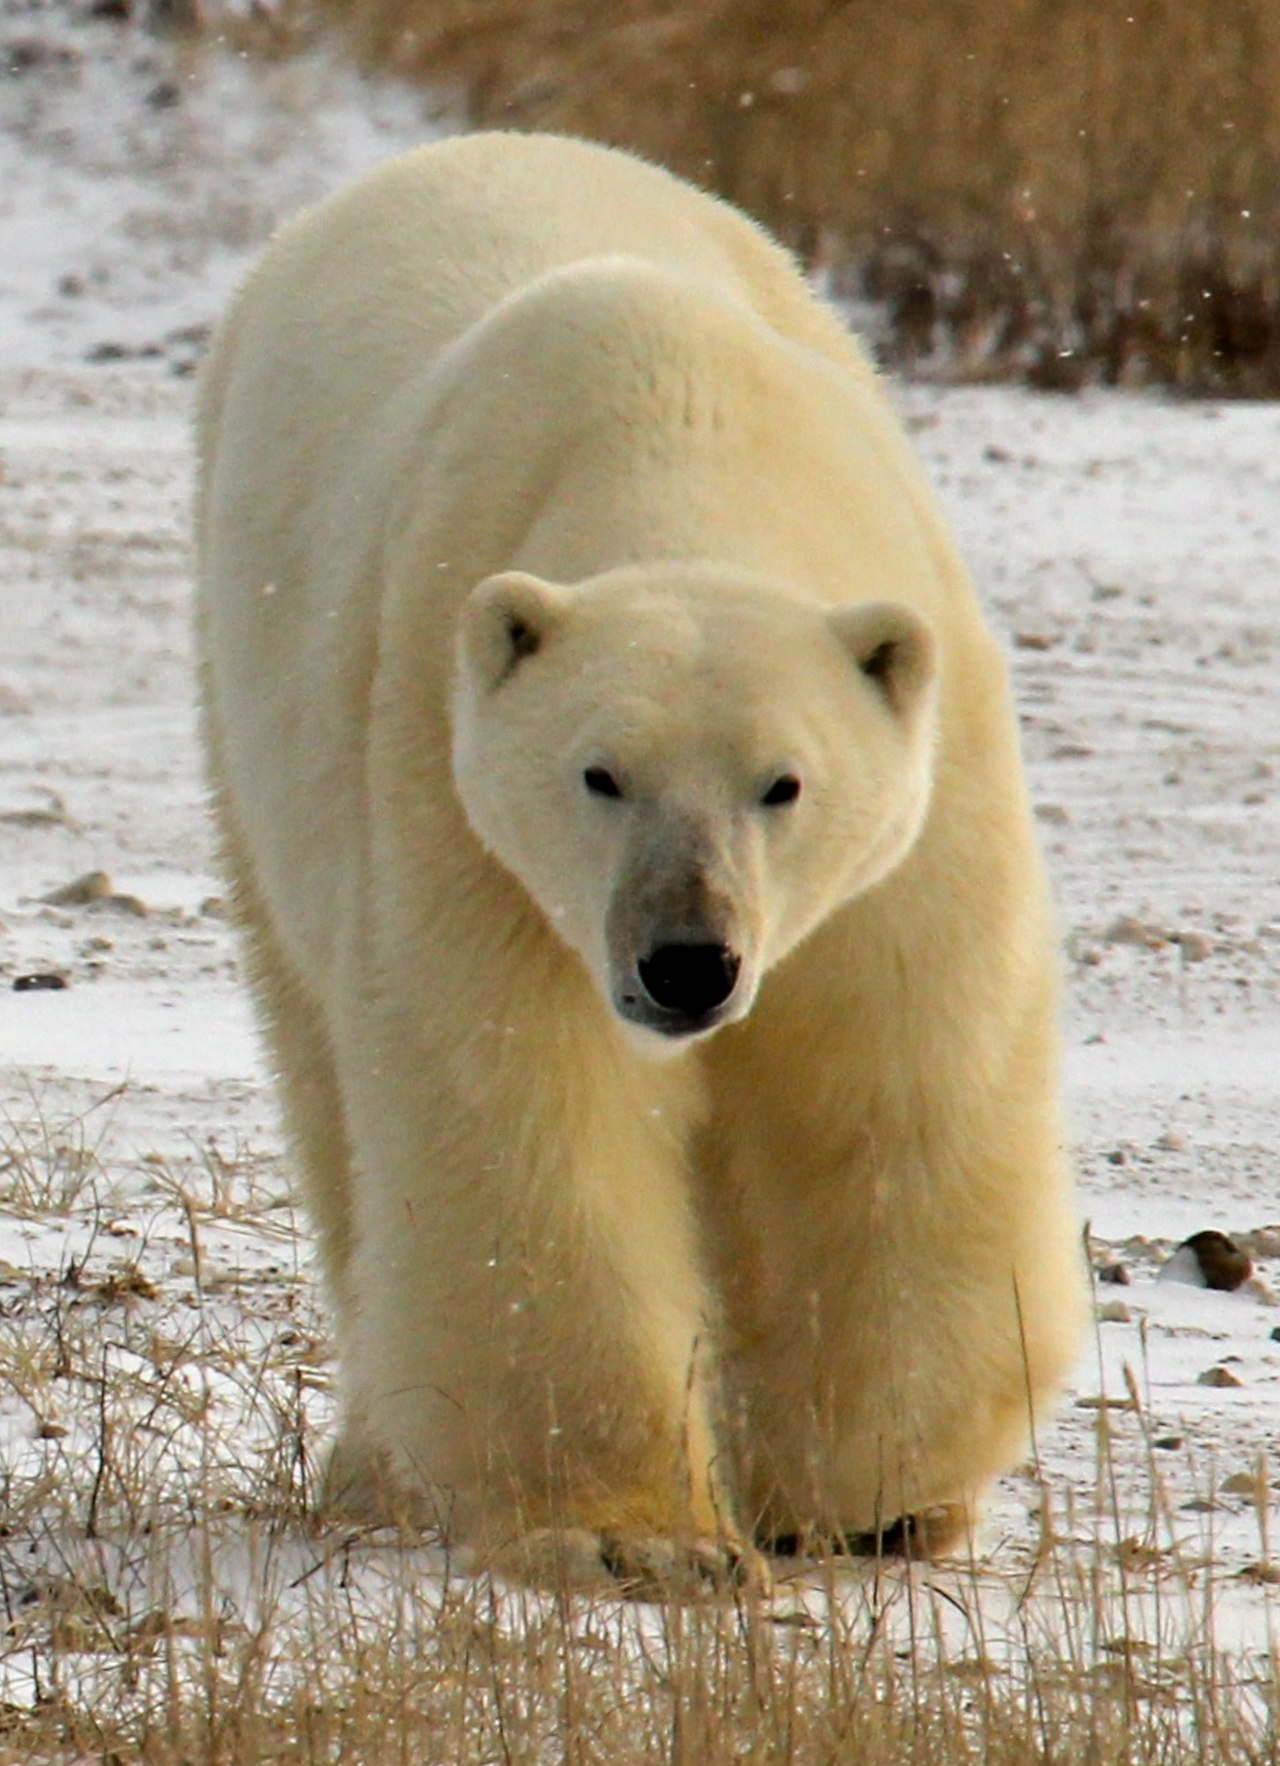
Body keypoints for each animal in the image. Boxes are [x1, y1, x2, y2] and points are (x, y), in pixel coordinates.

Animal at [195, 130, 1080, 1596]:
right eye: (597, 774)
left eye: (785, 780)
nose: (687, 963)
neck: (681, 429)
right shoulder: (453, 791)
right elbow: (526, 1113)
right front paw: (628, 1530)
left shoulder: (913, 806)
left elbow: (888, 1083)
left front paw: (864, 1493)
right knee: (328, 1087)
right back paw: (378, 1462)